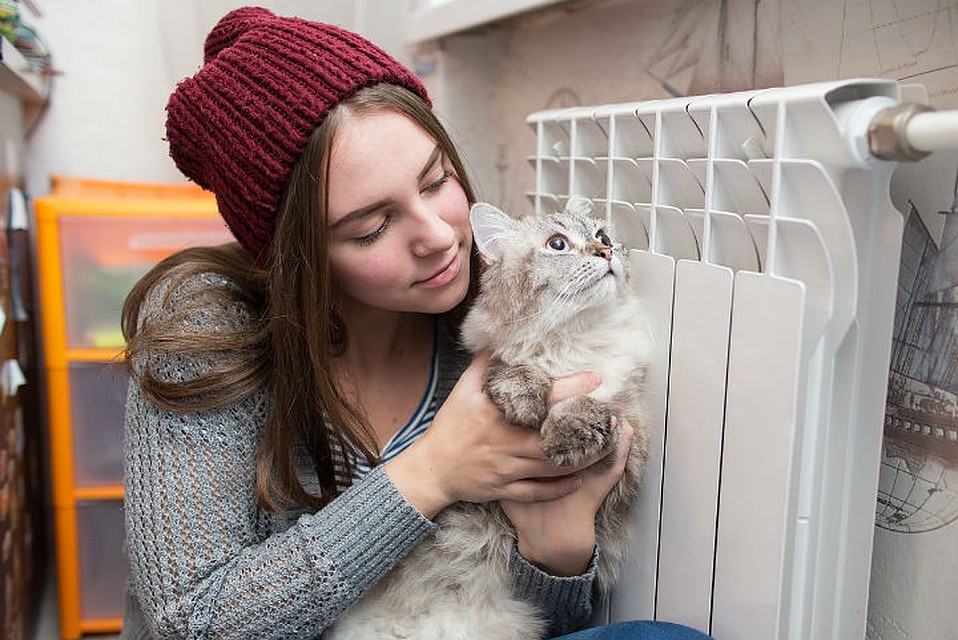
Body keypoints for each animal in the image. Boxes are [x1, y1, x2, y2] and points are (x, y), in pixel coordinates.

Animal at [328, 198, 652, 636]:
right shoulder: (495, 364)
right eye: (558, 244)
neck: (573, 341)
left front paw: (562, 435)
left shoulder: (631, 432)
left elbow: (596, 407)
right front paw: (526, 400)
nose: (606, 252)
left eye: (602, 236)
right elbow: (512, 371)